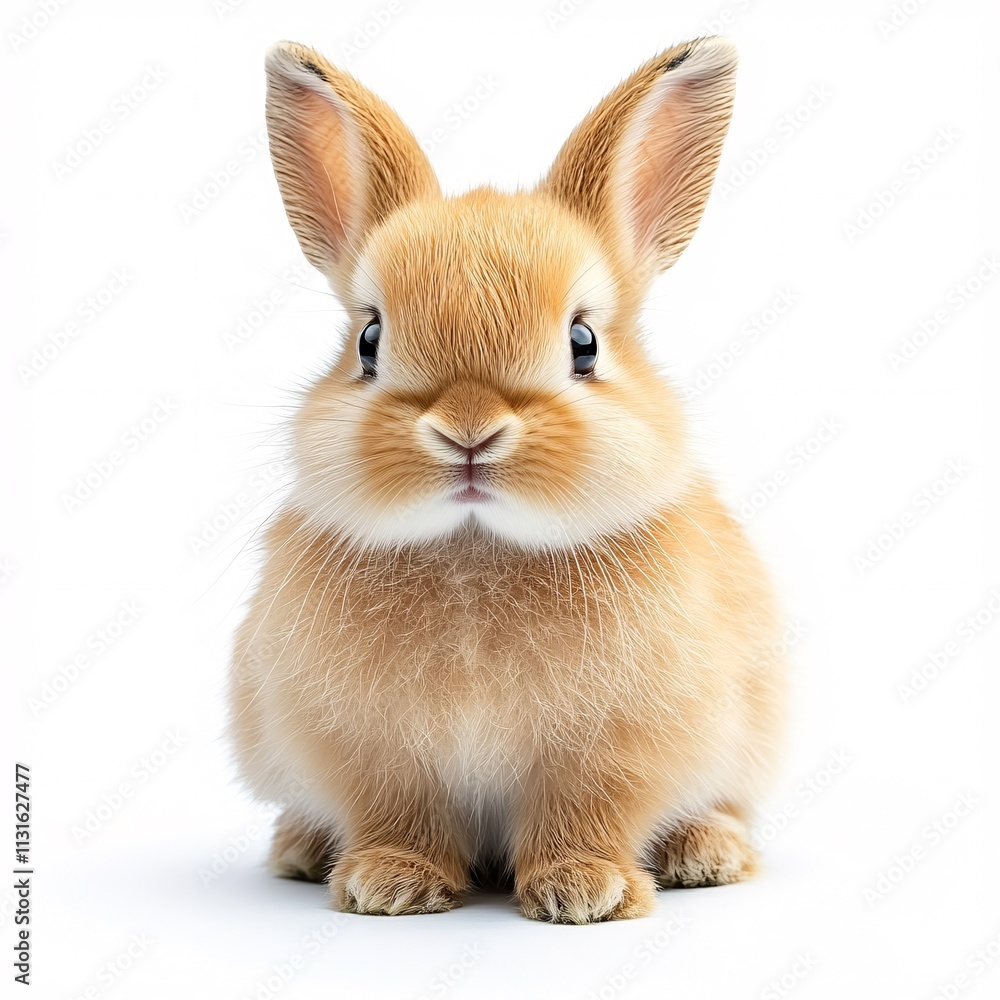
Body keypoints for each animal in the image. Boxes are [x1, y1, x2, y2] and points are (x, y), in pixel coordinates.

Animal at [228, 35, 787, 924]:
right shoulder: (375, 750)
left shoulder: (614, 745)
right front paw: (391, 884)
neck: (477, 546)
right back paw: (302, 849)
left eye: (584, 343)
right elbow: (401, 812)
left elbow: (588, 810)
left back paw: (708, 853)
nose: (468, 430)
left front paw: (584, 891)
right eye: (369, 341)